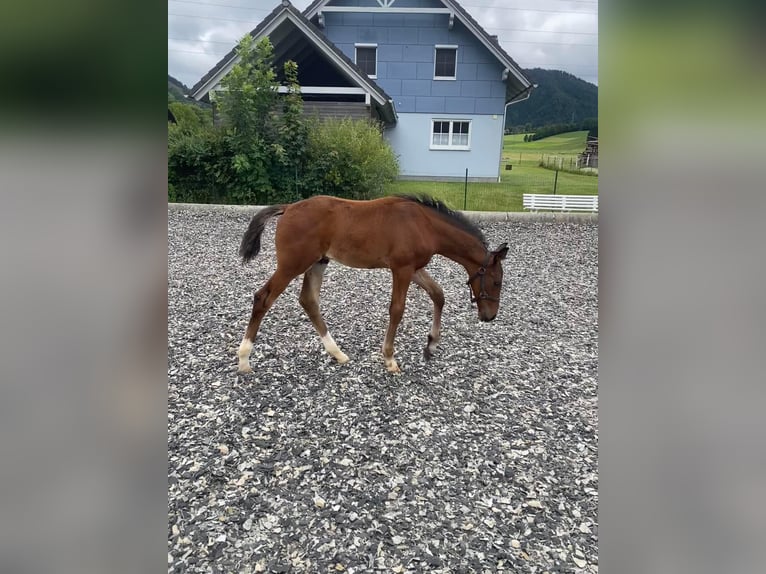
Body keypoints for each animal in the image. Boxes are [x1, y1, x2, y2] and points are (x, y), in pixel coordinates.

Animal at [234, 196, 510, 376]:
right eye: (497, 281)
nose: (490, 316)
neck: (425, 224)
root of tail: (288, 208)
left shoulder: (414, 268)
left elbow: (438, 294)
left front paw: (431, 345)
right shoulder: (402, 269)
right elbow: (397, 309)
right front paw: (389, 358)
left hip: (318, 262)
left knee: (308, 300)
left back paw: (337, 353)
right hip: (293, 265)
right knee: (263, 298)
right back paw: (244, 359)